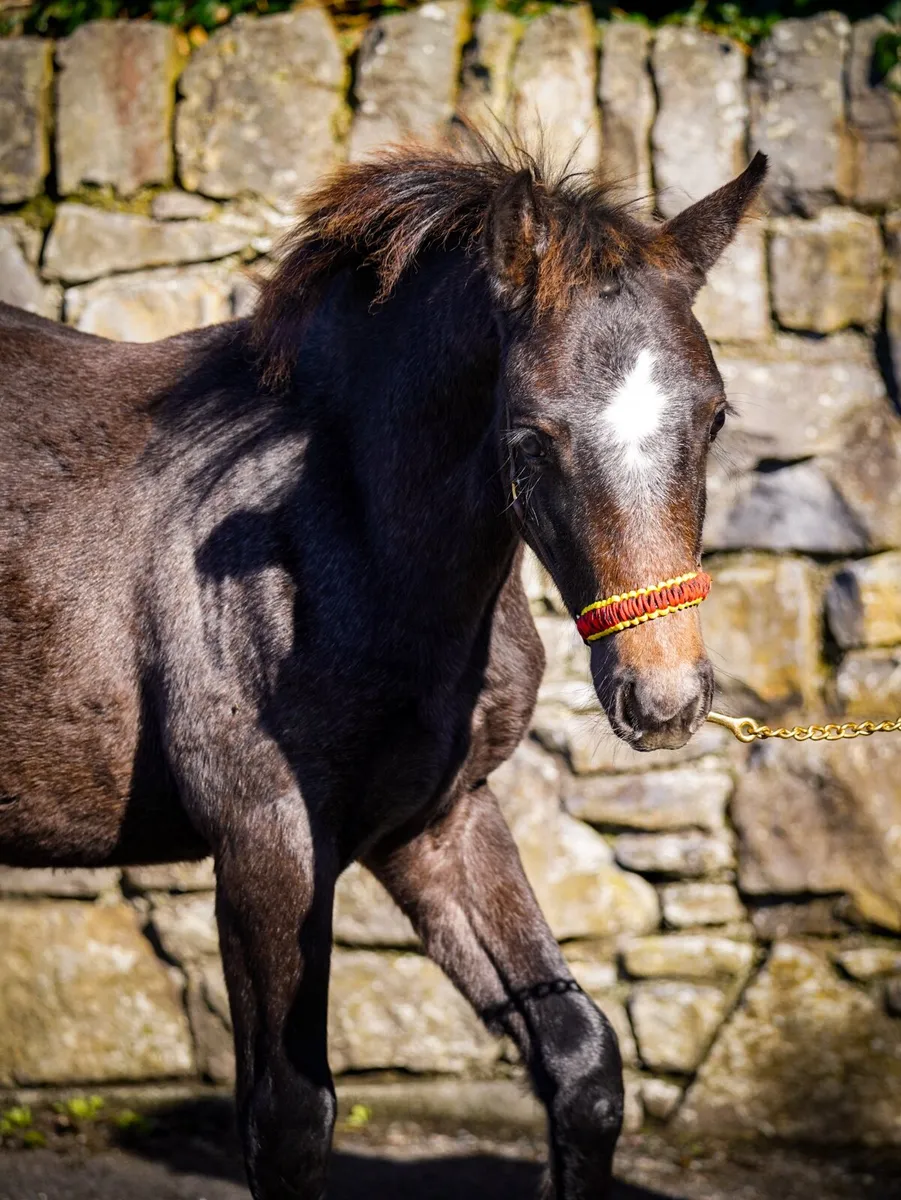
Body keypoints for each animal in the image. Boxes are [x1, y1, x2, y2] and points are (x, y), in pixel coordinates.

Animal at [0, 140, 766, 1199]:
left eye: (717, 416)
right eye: (530, 435)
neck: (338, 536)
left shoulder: (435, 823)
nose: (661, 699)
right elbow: (288, 1120)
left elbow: (580, 1059)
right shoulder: (268, 839)